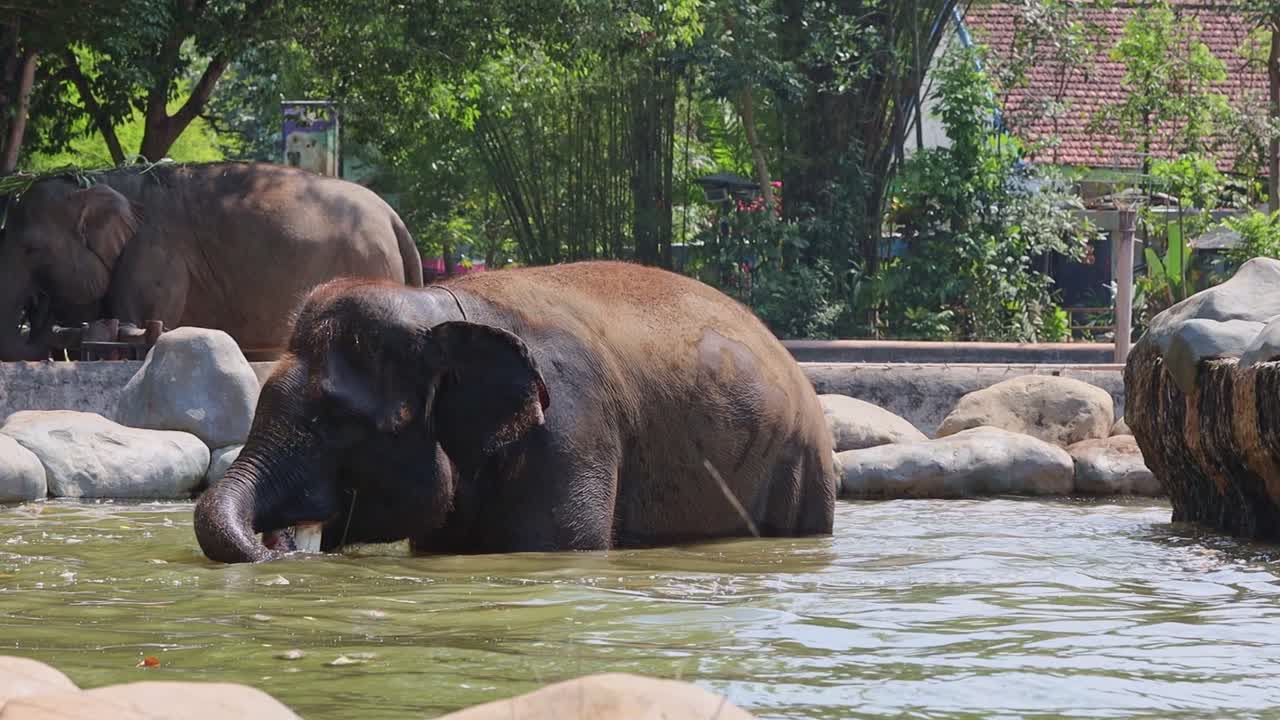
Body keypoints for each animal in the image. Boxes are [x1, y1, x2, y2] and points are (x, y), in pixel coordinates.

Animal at [0, 161, 423, 361]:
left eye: (31, 249)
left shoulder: (158, 254)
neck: (107, 180)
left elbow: (141, 320)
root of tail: (394, 217)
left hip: (366, 266)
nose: (37, 313)